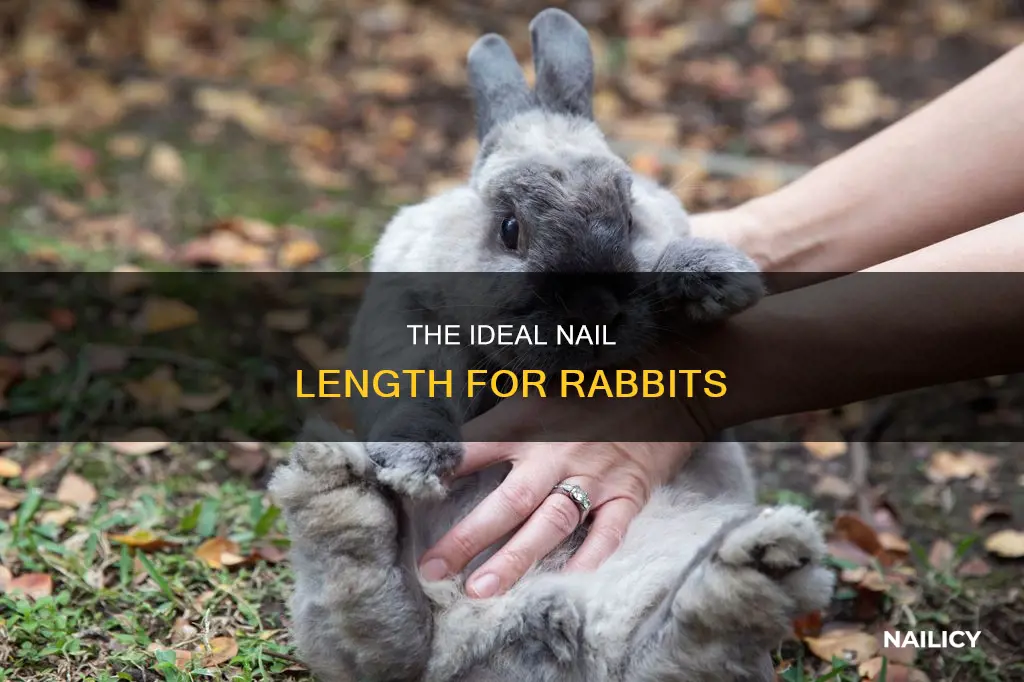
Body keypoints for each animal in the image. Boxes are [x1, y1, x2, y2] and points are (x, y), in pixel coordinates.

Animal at [269, 8, 835, 682]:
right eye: (510, 229)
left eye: (628, 217)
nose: (595, 311)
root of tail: (508, 624)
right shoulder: (406, 317)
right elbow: (416, 389)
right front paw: (416, 461)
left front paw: (714, 274)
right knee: (379, 635)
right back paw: (336, 491)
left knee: (672, 652)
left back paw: (761, 560)